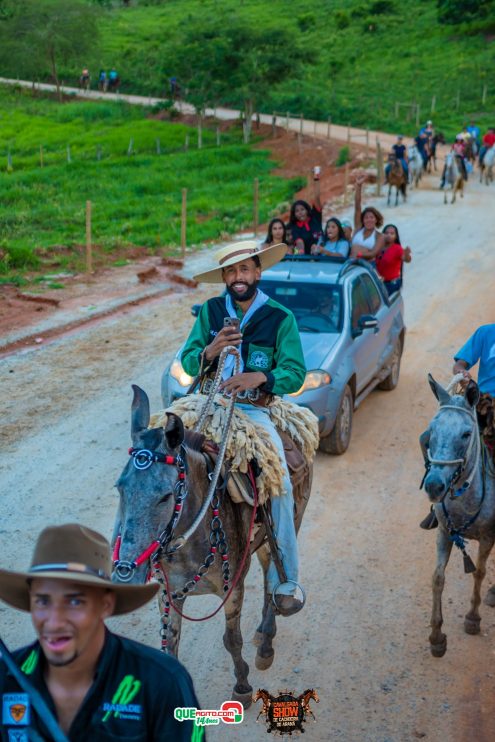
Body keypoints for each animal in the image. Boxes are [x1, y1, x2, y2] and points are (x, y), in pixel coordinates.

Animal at [113, 386, 314, 712]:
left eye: (166, 495)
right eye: (120, 487)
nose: (126, 574)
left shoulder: (233, 588)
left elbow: (231, 639)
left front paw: (242, 686)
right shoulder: (169, 594)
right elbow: (171, 646)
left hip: (290, 523)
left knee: (276, 579)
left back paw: (267, 643)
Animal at [420, 374, 495, 660]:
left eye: (466, 434)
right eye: (432, 430)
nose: (433, 486)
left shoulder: (488, 537)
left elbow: (480, 572)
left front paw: (473, 618)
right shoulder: (444, 533)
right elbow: (437, 578)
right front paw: (436, 636)